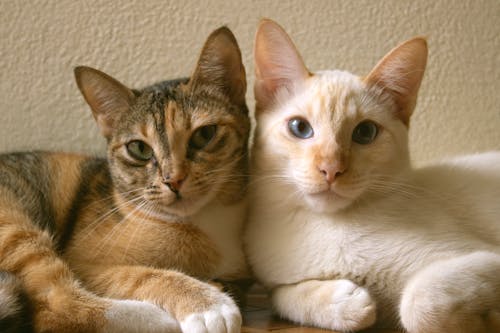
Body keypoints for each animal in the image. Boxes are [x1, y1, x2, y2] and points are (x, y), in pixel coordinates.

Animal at [0, 26, 250, 332]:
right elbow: (142, 275)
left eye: (204, 134)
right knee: (56, 306)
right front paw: (207, 303)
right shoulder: (85, 263)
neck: (207, 221)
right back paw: (156, 319)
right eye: (139, 149)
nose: (174, 179)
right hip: (13, 227)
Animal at [244, 18, 500, 332]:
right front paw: (348, 304)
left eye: (365, 133)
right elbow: (282, 297)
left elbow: (418, 304)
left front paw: (483, 321)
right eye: (300, 128)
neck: (327, 226)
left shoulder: (485, 257)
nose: (331, 169)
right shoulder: (275, 284)